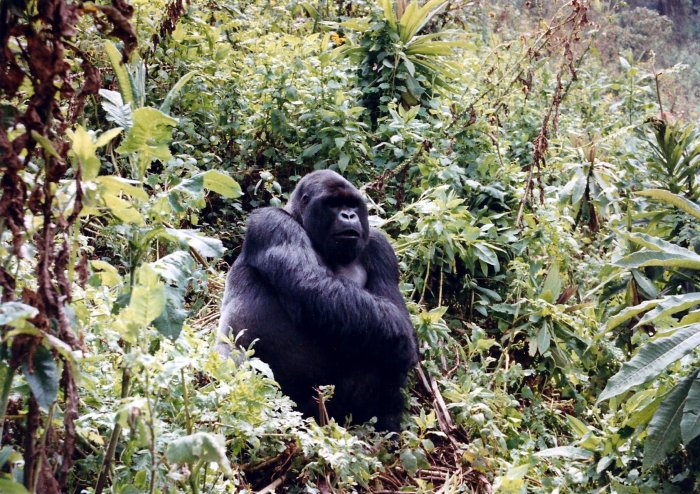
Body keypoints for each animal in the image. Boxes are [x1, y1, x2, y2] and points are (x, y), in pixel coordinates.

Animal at [216, 169, 418, 428]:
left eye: (352, 204)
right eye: (333, 204)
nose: (349, 215)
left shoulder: (380, 246)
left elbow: (393, 310)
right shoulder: (272, 222)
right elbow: (311, 285)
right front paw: (406, 344)